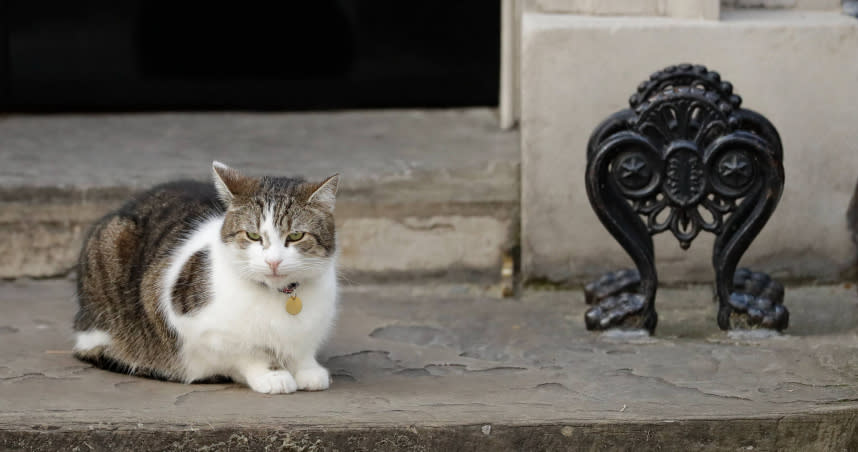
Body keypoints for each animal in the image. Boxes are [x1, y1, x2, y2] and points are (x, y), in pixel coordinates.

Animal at [71, 162, 338, 392]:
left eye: (295, 236)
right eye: (253, 235)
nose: (273, 261)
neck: (280, 295)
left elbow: (302, 350)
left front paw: (307, 370)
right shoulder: (196, 327)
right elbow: (248, 352)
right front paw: (272, 375)